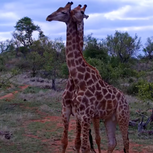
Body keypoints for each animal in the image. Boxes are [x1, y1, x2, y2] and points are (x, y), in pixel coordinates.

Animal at [45, 1, 129, 153]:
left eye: (64, 12)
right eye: (60, 9)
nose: (49, 17)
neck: (78, 79)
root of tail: (125, 99)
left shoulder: (85, 115)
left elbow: (84, 146)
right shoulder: (71, 111)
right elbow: (67, 142)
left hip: (122, 116)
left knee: (125, 143)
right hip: (110, 118)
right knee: (112, 142)